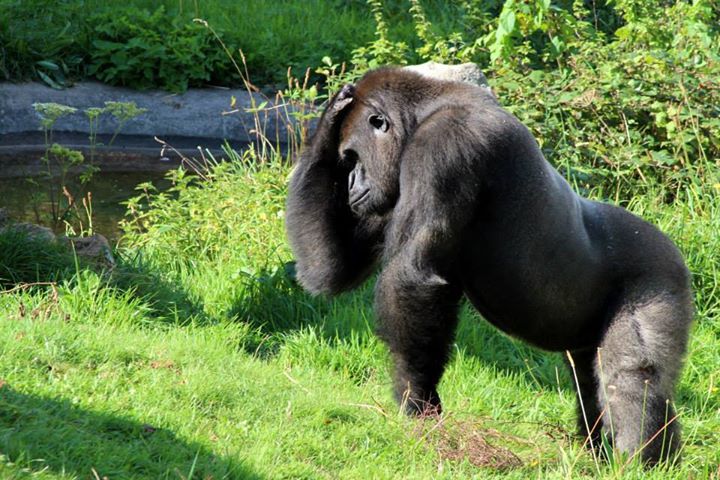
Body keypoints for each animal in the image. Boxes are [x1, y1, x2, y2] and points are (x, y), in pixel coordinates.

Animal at [286, 68, 692, 464]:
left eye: (353, 157)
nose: (352, 185)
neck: (427, 110)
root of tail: (674, 250)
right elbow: (334, 268)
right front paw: (327, 122)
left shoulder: (443, 145)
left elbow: (412, 277)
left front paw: (417, 400)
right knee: (591, 382)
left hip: (660, 272)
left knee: (632, 375)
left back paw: (643, 462)